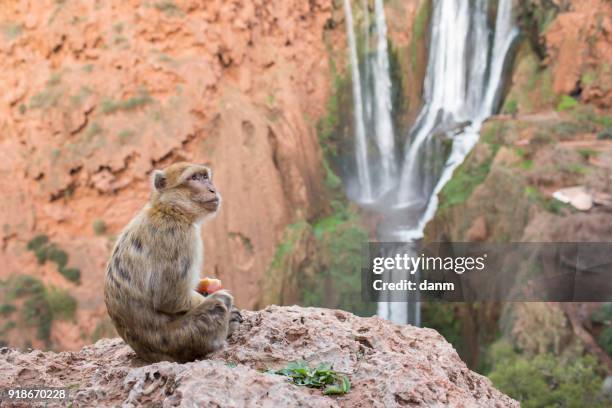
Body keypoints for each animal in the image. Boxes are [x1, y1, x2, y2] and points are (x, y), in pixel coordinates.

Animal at [103, 161, 241, 362]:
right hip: (179, 340)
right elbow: (170, 298)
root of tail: (148, 355)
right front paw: (230, 313)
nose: (212, 189)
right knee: (218, 304)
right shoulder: (178, 236)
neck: (171, 209)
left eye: (204, 176)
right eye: (194, 178)